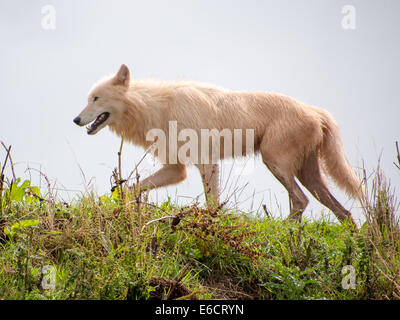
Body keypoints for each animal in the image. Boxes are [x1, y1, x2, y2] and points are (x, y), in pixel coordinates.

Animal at [72, 63, 362, 226]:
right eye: (88, 99)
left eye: (96, 99)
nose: (76, 119)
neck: (156, 108)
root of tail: (316, 111)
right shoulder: (176, 169)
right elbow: (129, 189)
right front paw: (122, 207)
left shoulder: (205, 163)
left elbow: (212, 203)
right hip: (307, 175)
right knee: (344, 213)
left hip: (275, 163)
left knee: (301, 201)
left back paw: (281, 230)